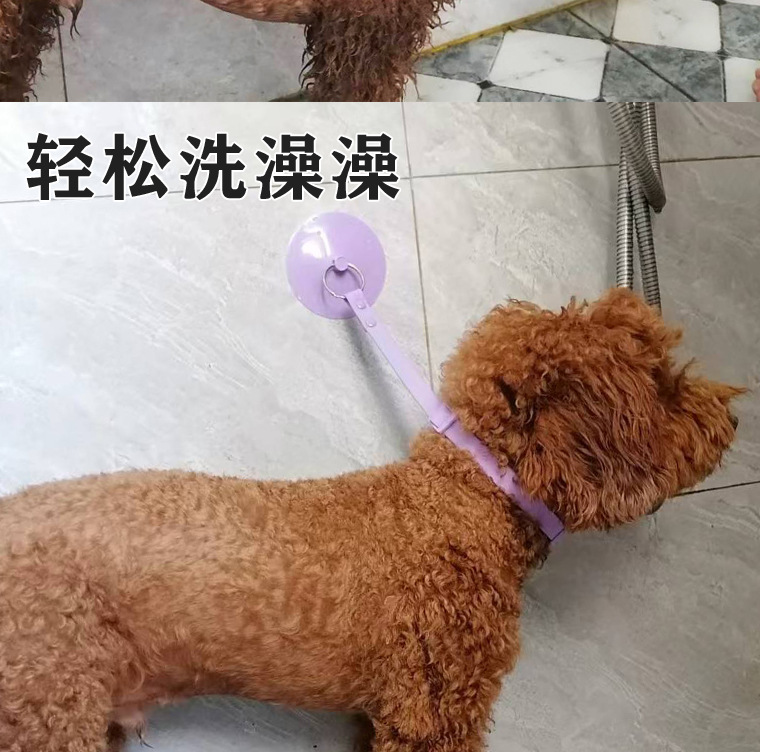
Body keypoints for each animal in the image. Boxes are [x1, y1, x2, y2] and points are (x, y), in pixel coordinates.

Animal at [0, 289, 741, 752]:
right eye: (663, 383)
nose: (733, 416)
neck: (464, 498)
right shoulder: (436, 710)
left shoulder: (385, 711)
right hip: (45, 705)